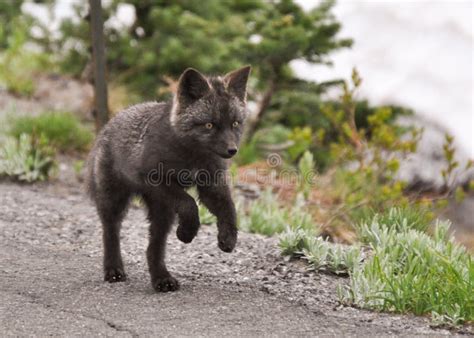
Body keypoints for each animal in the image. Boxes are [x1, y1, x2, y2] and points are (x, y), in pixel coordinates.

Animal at [84, 66, 250, 294]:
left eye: (235, 124)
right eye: (209, 125)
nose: (232, 150)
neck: (193, 156)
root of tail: (108, 125)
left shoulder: (211, 186)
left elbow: (229, 208)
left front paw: (228, 238)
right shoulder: (155, 181)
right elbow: (189, 205)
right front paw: (187, 233)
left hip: (163, 214)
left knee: (153, 248)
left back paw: (162, 279)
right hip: (116, 203)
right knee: (111, 234)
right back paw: (114, 270)